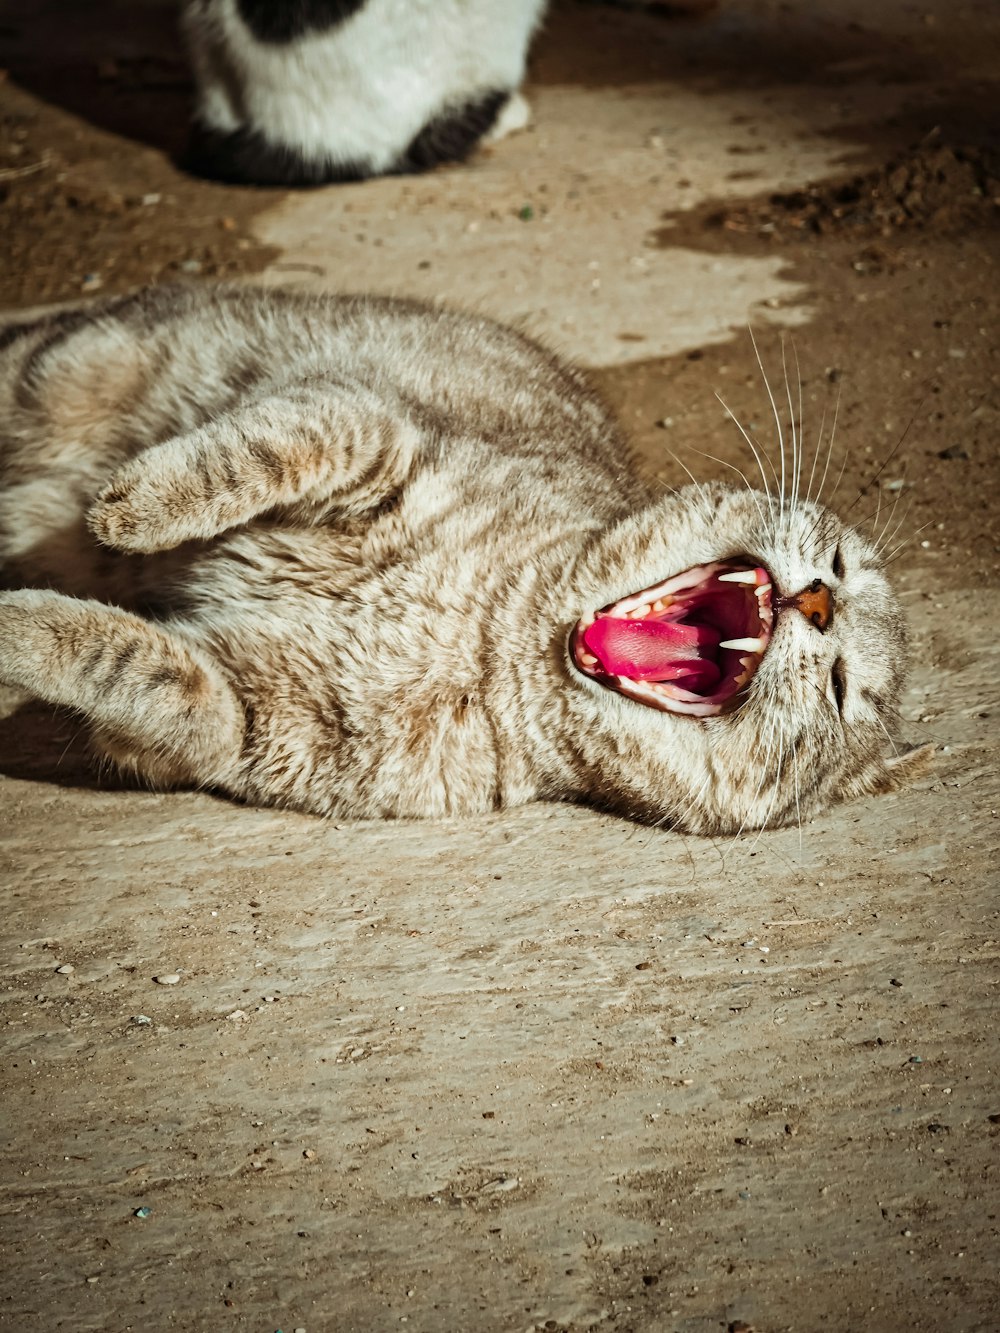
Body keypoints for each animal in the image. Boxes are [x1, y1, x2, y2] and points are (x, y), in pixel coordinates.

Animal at [0, 289, 928, 831]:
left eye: (842, 689)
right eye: (841, 561)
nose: (821, 602)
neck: (496, 638)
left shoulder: (235, 718)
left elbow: (125, 660)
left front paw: (19, 630)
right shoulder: (366, 426)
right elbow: (248, 456)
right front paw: (131, 508)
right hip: (62, 369)